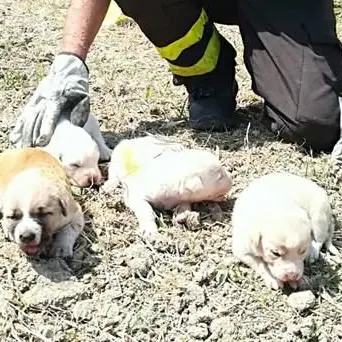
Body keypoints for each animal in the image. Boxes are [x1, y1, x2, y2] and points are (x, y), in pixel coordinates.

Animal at [102, 135, 232, 236]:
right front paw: (149, 231)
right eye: (220, 176)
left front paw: (182, 215)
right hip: (117, 158)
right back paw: (109, 186)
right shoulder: (136, 195)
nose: (232, 179)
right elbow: (146, 209)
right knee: (112, 172)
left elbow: (185, 205)